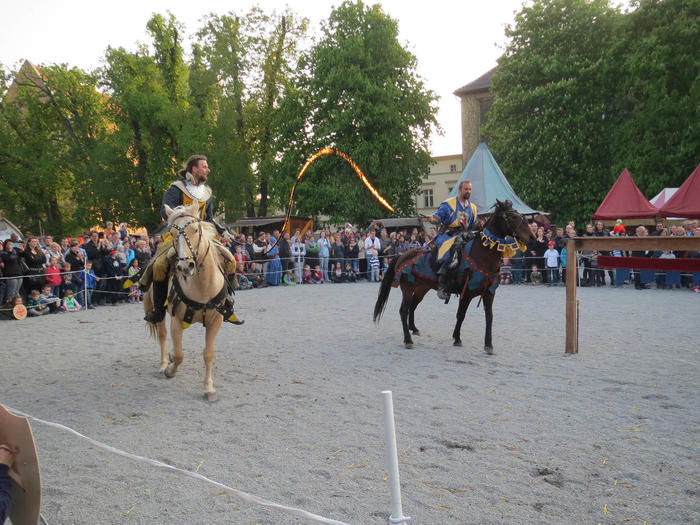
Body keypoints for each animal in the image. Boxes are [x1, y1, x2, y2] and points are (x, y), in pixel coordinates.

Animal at [378, 199, 532, 354]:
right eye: (512, 216)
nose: (531, 237)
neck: (481, 255)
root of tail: (401, 256)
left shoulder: (489, 293)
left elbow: (489, 317)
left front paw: (488, 344)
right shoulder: (467, 293)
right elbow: (461, 314)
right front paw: (457, 338)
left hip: (421, 288)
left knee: (412, 306)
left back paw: (414, 329)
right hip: (408, 288)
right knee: (403, 311)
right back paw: (408, 340)